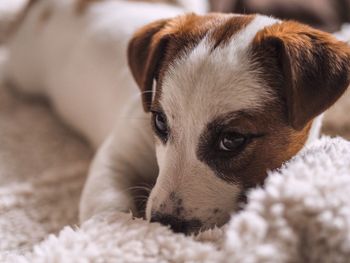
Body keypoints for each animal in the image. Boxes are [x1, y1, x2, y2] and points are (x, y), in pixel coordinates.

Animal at [3, 0, 350, 235]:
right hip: (24, 68)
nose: (166, 224)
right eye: (159, 122)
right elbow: (107, 201)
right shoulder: (117, 153)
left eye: (232, 139)